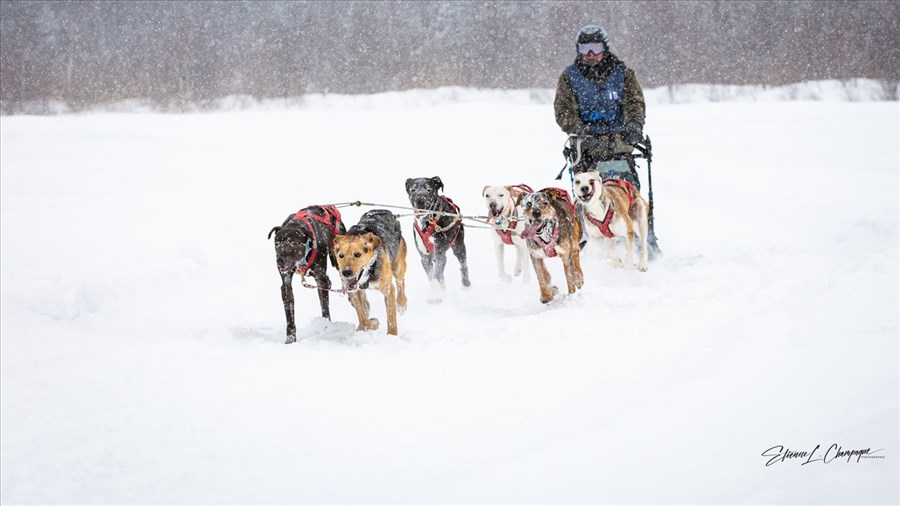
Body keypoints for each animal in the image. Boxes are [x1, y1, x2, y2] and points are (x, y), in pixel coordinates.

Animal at [268, 206, 344, 344]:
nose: (280, 260)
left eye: (293, 243)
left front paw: (326, 327)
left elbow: (325, 307)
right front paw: (290, 338)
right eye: (277, 244)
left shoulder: (320, 279)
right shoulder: (286, 283)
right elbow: (289, 312)